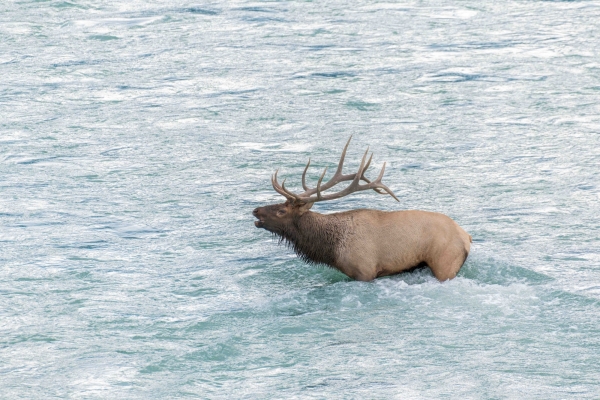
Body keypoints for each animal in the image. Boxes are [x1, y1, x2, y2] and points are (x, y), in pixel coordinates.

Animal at [251, 138, 472, 282]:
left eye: (281, 211)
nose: (256, 211)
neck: (331, 249)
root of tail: (467, 237)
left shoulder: (364, 272)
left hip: (445, 264)